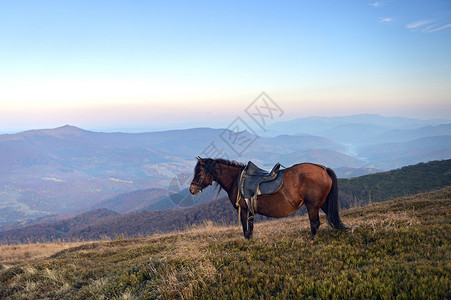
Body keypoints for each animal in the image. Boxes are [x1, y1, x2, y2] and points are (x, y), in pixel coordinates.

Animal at [189, 157, 348, 239]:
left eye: (199, 173)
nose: (192, 189)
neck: (236, 180)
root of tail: (323, 169)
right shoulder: (250, 210)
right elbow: (250, 227)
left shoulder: (244, 209)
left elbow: (245, 229)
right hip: (322, 203)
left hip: (312, 205)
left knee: (315, 223)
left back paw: (309, 239)